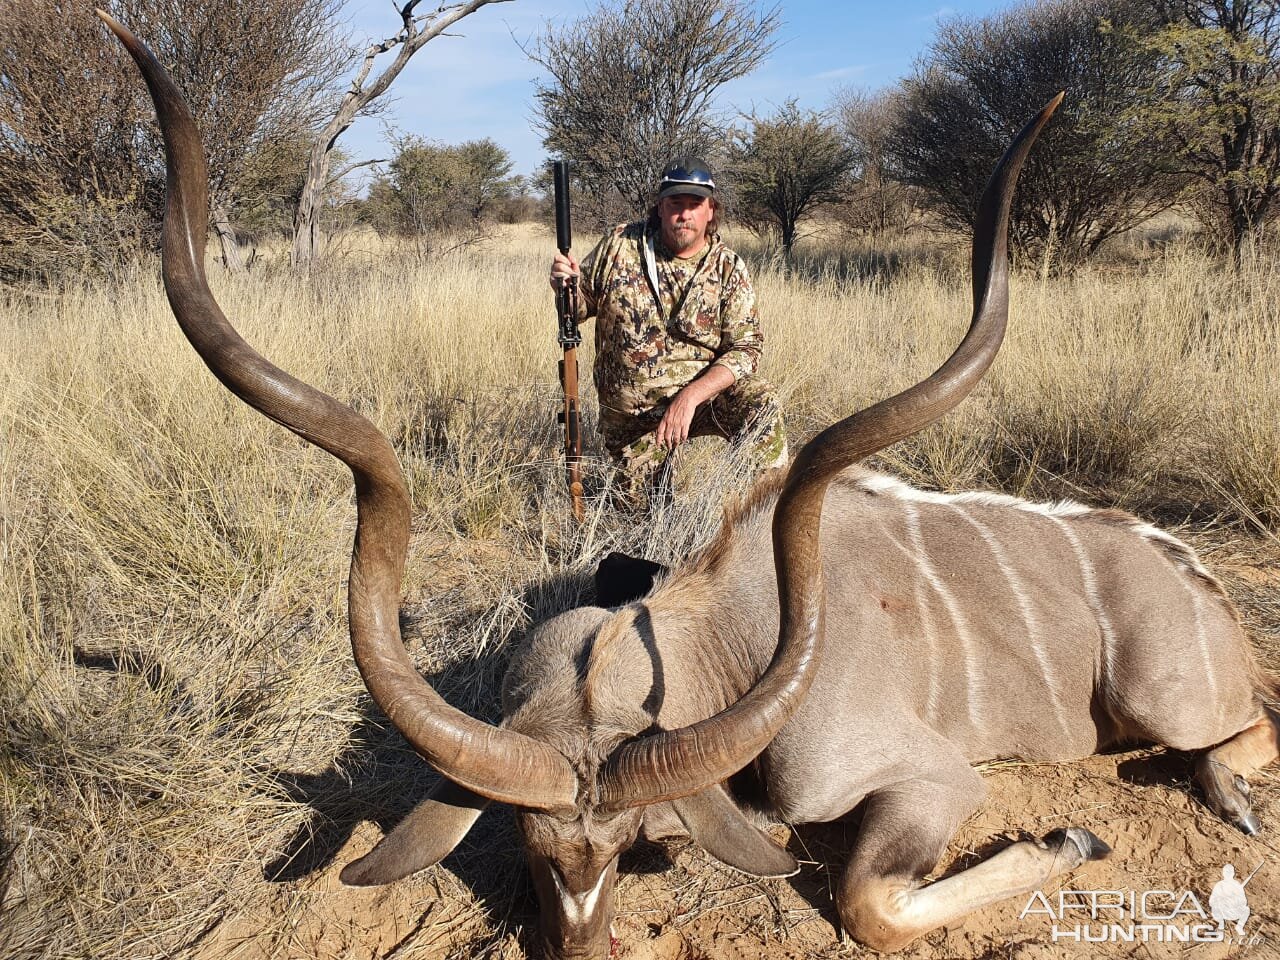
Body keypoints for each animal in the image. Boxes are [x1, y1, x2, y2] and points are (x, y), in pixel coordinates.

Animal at [102, 11, 1280, 957]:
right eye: (530, 844)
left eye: (625, 845)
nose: (581, 947)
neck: (736, 628)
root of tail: (1194, 575)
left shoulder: (928, 780)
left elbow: (868, 900)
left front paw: (1068, 836)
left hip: (1161, 695)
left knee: (1237, 727)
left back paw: (1227, 794)